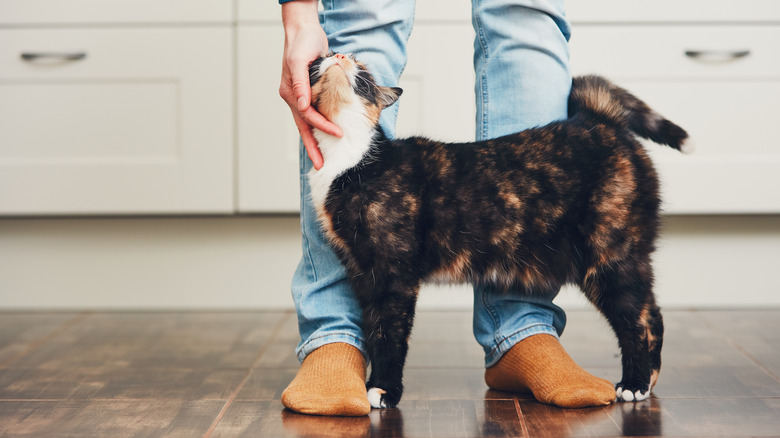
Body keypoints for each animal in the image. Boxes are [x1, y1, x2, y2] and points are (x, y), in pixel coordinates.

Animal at [304, 53, 688, 408]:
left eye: (363, 71)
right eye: (321, 59)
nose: (339, 55)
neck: (350, 159)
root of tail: (597, 119)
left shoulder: (394, 274)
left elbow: (390, 335)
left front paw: (384, 390)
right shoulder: (363, 272)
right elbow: (374, 330)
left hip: (609, 256)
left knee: (637, 320)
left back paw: (635, 384)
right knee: (651, 313)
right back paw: (648, 380)